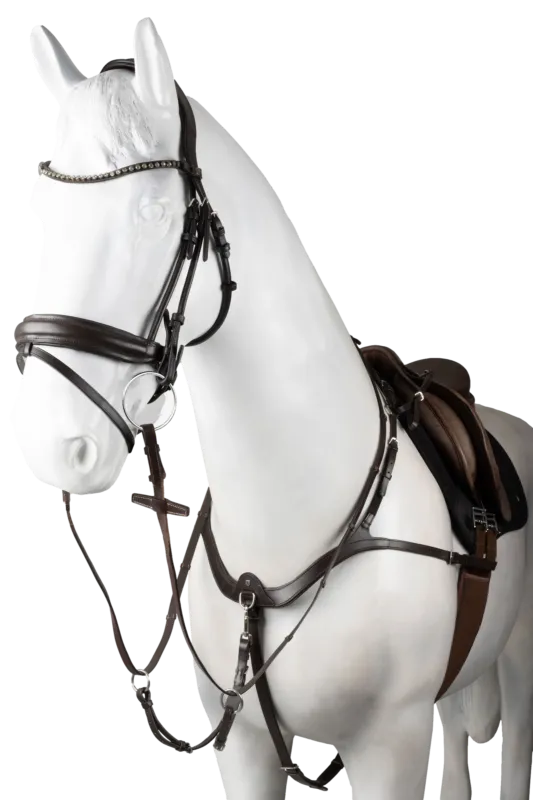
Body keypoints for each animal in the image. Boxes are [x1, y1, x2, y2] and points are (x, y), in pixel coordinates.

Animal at [13, 20, 532, 799]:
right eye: (40, 216)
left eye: (153, 213)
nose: (53, 442)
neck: (293, 518)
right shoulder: (247, 752)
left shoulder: (387, 750)